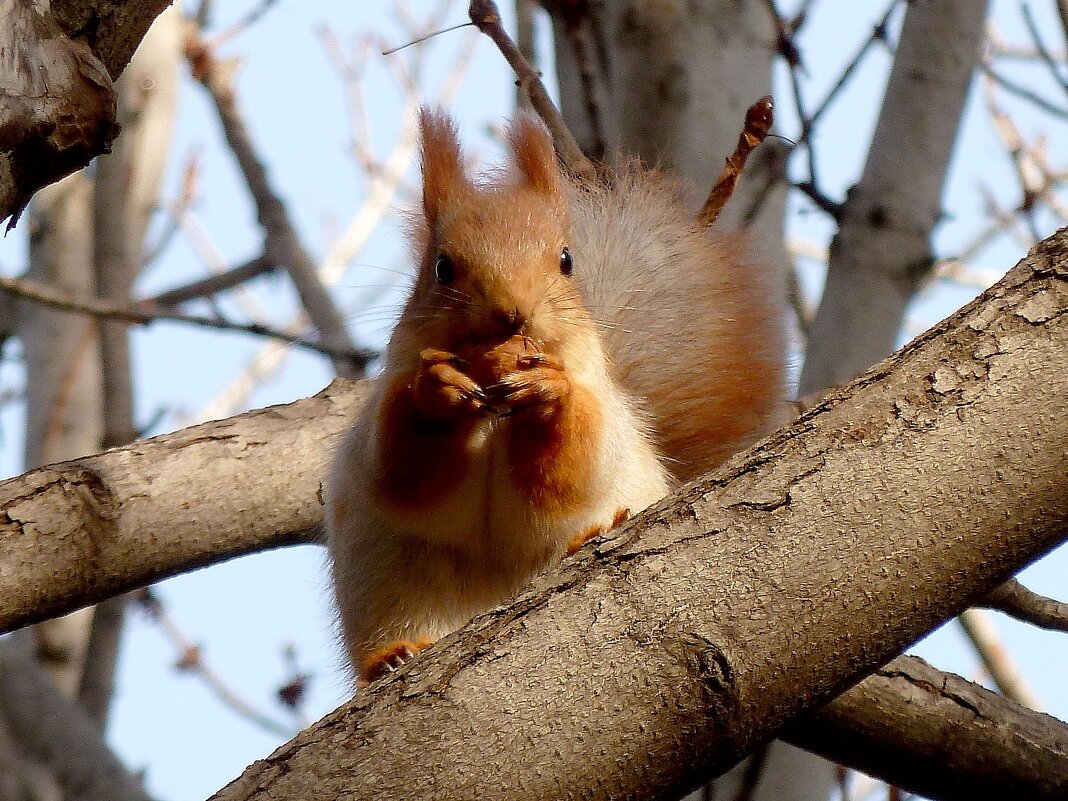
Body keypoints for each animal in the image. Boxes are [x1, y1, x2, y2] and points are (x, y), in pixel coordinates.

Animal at [322, 106, 786, 687]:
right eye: (442, 268)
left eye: (566, 260)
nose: (512, 314)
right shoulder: (385, 417)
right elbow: (403, 466)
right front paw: (436, 390)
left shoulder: (600, 405)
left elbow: (571, 465)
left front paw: (550, 394)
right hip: (393, 581)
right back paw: (394, 655)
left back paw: (592, 534)